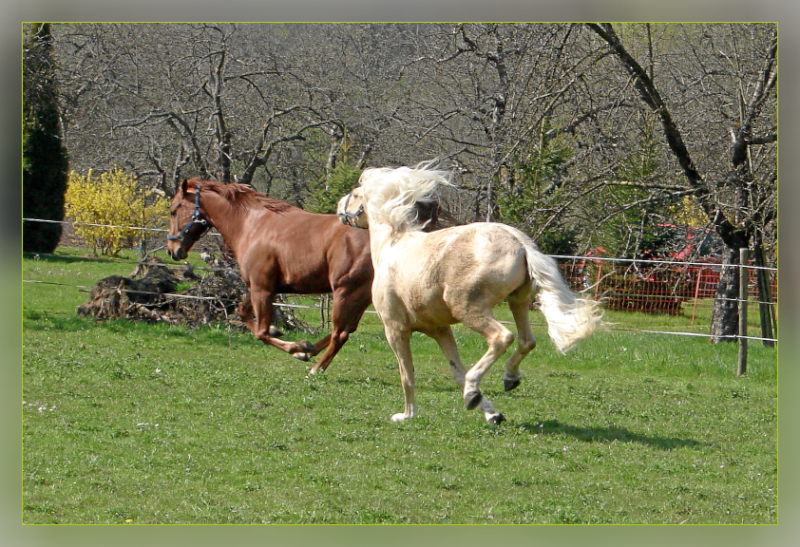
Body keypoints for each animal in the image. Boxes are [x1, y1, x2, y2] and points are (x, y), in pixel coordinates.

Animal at [167, 178, 374, 374]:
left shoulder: (262, 289)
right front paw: (292, 341)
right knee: (346, 330)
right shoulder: (259, 287)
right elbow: (243, 312)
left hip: (345, 292)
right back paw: (310, 350)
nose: (172, 250)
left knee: (340, 333)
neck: (252, 225)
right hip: (361, 297)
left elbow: (261, 333)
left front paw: (296, 347)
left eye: (173, 210)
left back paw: (316, 368)